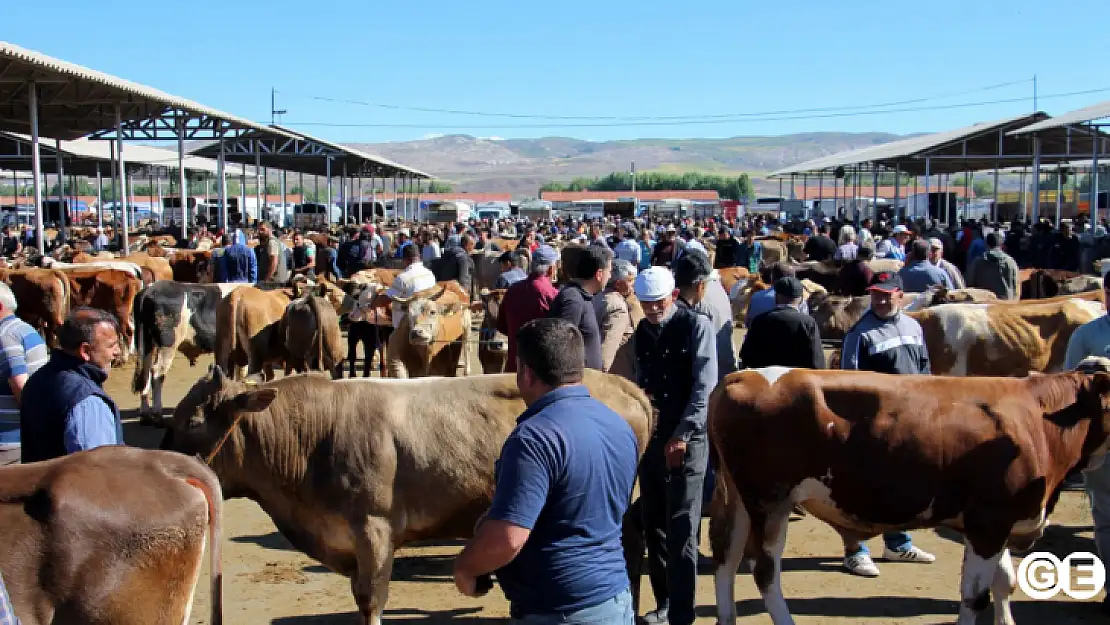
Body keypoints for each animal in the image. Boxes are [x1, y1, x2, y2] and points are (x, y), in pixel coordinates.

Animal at [705, 366, 1110, 625]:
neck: (1037, 419)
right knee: (764, 571)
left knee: (726, 557)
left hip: (739, 499)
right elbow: (974, 595)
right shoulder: (989, 520)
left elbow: (1003, 584)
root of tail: (741, 376)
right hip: (770, 500)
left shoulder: (996, 524)